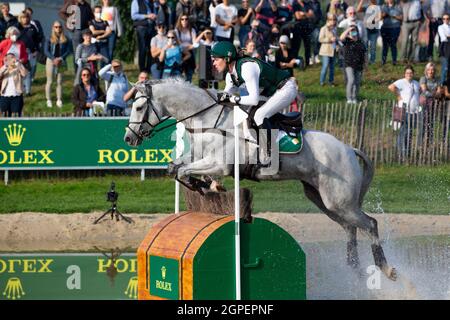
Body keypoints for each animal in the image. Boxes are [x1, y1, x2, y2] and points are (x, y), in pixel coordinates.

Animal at [124, 79, 398, 282]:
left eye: (138, 108)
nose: (128, 138)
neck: (208, 121)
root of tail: (349, 148)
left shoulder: (220, 164)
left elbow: (183, 172)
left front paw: (205, 186)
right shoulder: (199, 158)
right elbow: (175, 168)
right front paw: (203, 185)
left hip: (339, 200)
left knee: (370, 224)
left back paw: (386, 269)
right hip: (323, 199)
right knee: (350, 227)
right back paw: (354, 268)